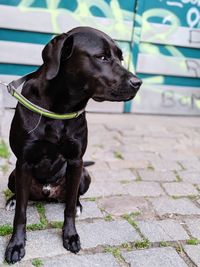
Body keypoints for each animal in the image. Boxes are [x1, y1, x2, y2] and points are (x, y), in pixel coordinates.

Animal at [4, 26, 142, 264]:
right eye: (102, 57)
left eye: (121, 58)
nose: (138, 83)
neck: (61, 108)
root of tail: (47, 192)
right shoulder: (24, 163)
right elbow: (21, 213)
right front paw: (16, 244)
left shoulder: (76, 161)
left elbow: (68, 207)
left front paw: (70, 236)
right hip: (13, 175)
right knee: (21, 196)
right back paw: (12, 200)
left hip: (85, 176)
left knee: (74, 195)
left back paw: (78, 204)